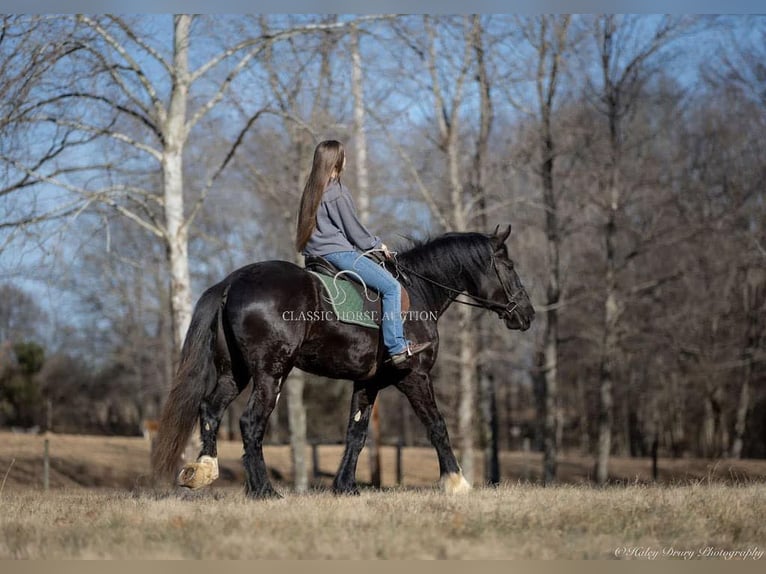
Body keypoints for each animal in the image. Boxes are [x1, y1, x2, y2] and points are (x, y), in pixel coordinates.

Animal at [150, 225, 536, 500]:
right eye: (509, 266)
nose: (528, 314)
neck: (416, 293)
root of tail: (231, 282)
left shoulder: (368, 383)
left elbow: (356, 433)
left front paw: (345, 485)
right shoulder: (414, 376)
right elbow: (436, 425)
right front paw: (456, 482)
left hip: (236, 373)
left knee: (211, 410)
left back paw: (204, 471)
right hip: (271, 374)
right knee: (250, 422)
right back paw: (264, 491)